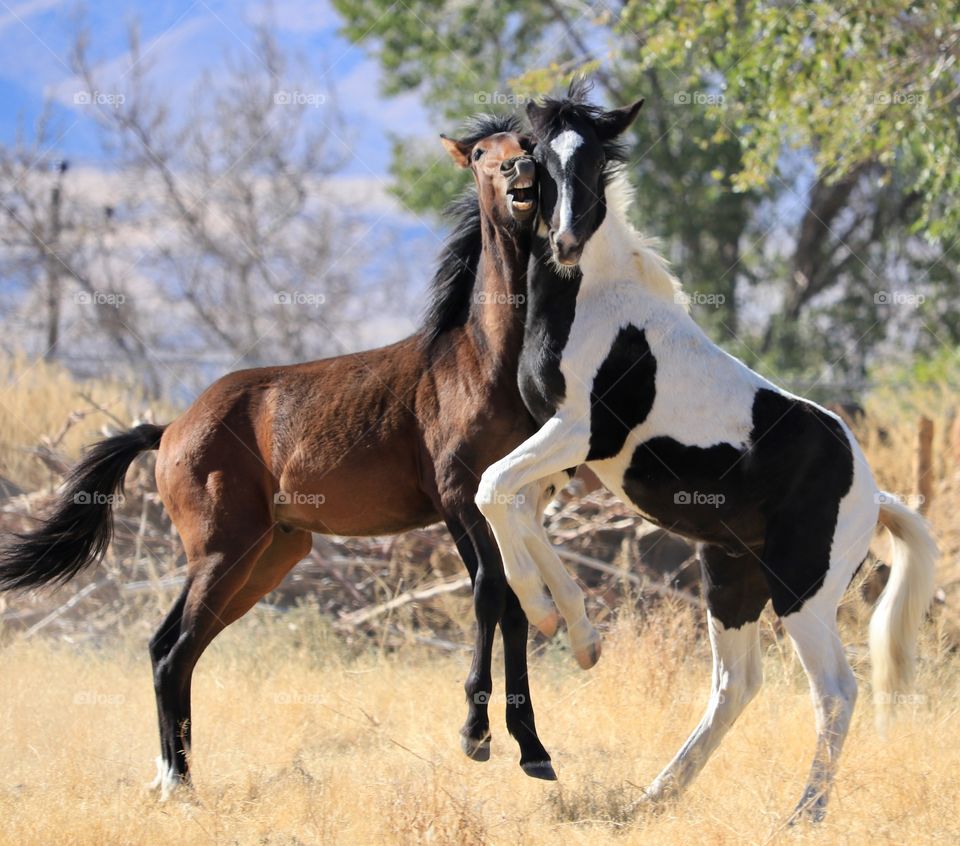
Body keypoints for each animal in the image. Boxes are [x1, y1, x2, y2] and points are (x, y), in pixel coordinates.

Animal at [0, 116, 568, 800]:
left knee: (172, 648)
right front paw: (475, 736)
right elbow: (489, 593)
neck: (481, 361)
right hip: (224, 553)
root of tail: (169, 431)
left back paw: (172, 780)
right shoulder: (460, 500)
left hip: (267, 559)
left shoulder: (515, 502)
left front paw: (533, 750)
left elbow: (517, 601)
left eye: (527, 145)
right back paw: (178, 787)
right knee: (171, 651)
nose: (519, 172)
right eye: (482, 152)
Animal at [474, 84, 936, 820]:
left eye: (595, 160)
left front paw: (548, 615)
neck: (592, 300)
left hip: (801, 590)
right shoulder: (562, 455)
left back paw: (802, 815)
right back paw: (653, 799)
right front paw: (579, 634)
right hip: (731, 578)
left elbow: (493, 489)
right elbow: (516, 508)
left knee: (837, 690)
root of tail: (872, 492)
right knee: (735, 685)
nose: (567, 241)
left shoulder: (576, 434)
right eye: (539, 157)